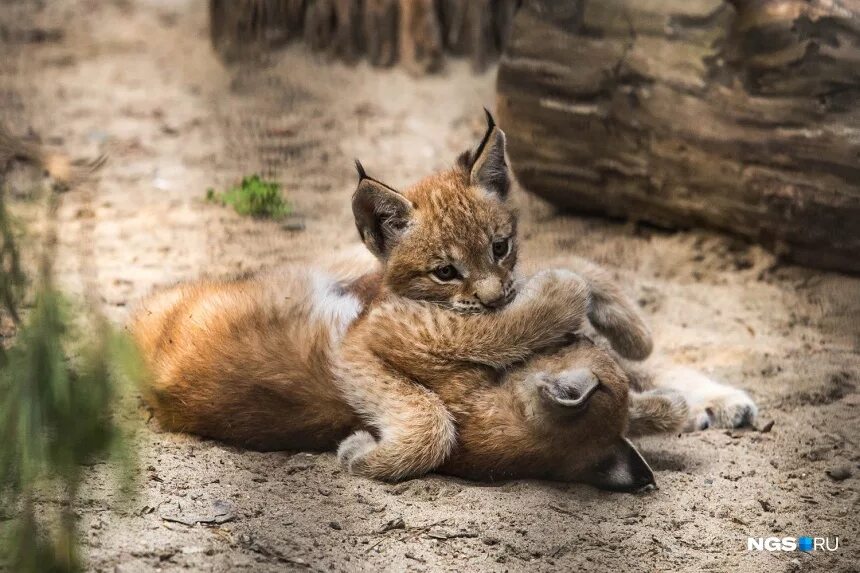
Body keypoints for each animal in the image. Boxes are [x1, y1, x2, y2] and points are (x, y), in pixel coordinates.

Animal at [131, 112, 757, 489]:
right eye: (444, 271)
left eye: (500, 246)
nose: (495, 293)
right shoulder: (378, 334)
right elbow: (445, 404)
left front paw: (638, 345)